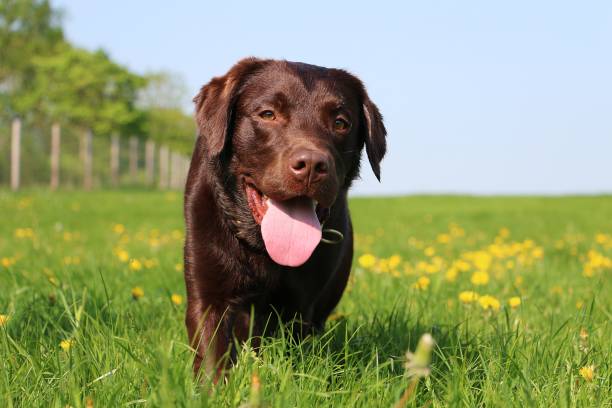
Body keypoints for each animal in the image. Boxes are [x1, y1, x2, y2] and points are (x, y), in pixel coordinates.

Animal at [182, 57, 388, 376]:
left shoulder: (301, 308)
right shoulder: (209, 295)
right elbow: (212, 356)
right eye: (268, 114)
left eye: (340, 123)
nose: (312, 165)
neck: (264, 248)